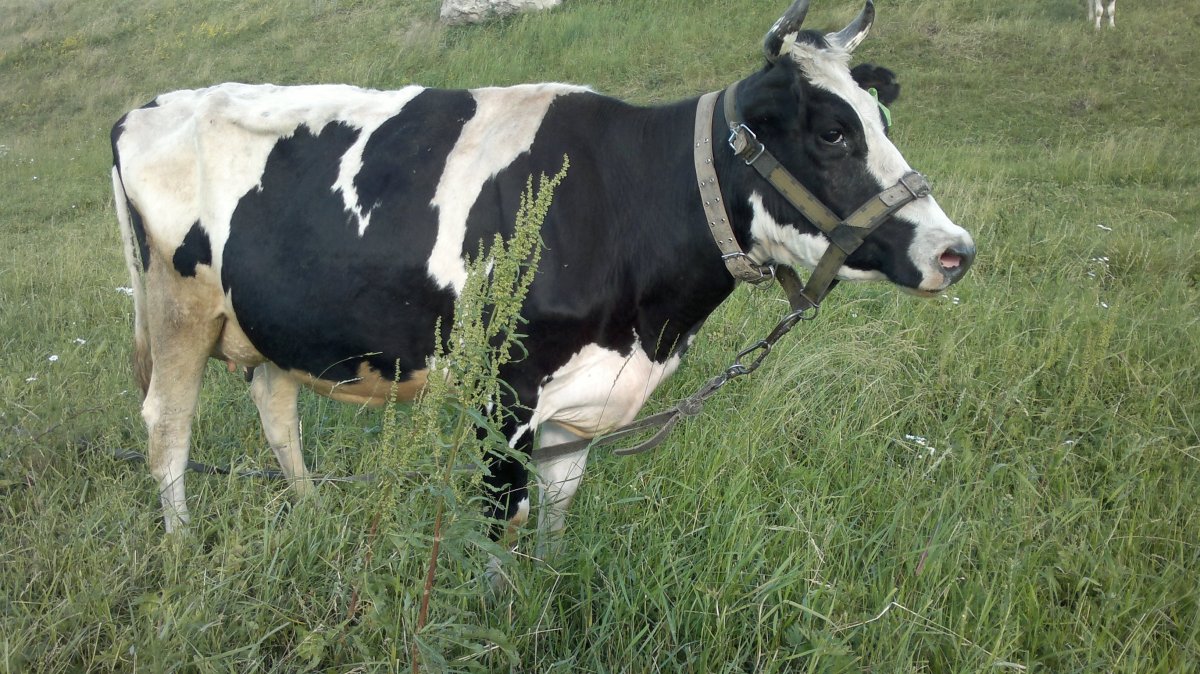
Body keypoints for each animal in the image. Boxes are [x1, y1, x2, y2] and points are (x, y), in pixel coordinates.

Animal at [111, 0, 975, 545]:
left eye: (880, 117)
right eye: (831, 132)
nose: (954, 250)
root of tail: (148, 106)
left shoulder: (583, 400)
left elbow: (556, 519)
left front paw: (547, 598)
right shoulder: (504, 396)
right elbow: (505, 525)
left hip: (271, 323)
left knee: (277, 413)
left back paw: (314, 518)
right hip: (176, 309)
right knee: (168, 432)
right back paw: (183, 550)